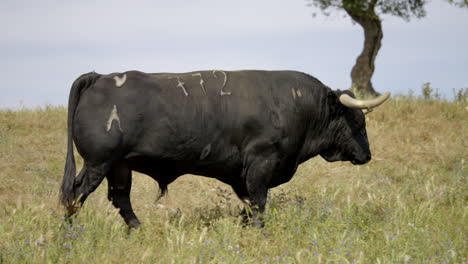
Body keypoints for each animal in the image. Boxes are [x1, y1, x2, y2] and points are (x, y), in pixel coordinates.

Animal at [59, 70, 388, 229]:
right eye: (357, 120)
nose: (367, 155)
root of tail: (99, 77)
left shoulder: (242, 174)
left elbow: (249, 204)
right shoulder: (260, 164)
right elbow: (258, 203)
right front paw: (259, 232)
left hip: (119, 166)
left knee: (120, 199)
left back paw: (139, 229)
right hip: (98, 162)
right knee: (74, 195)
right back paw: (70, 233)